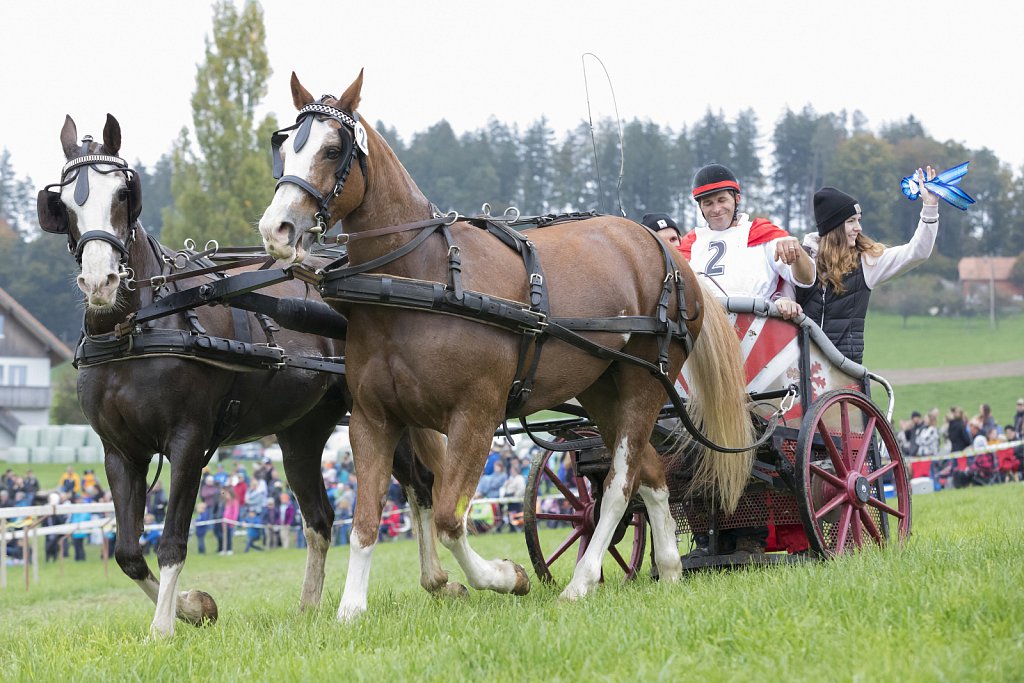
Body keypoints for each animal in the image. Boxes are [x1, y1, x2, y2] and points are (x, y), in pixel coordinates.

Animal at [39, 114, 456, 638]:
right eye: (67, 203)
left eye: (122, 194)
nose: (100, 282)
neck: (135, 327)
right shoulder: (119, 452)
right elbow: (128, 553)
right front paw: (192, 607)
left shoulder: (188, 441)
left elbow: (172, 541)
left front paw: (163, 628)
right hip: (301, 435)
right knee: (320, 518)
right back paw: (309, 607)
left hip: (380, 414)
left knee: (419, 485)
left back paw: (439, 579)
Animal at [256, 73, 753, 618]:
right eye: (286, 147)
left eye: (332, 149)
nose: (276, 229)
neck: (415, 281)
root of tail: (666, 252)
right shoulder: (372, 418)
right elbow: (366, 518)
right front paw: (350, 610)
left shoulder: (475, 414)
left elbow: (450, 518)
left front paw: (507, 577)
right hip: (603, 389)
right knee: (653, 474)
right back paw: (668, 569)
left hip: (643, 382)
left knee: (620, 485)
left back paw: (581, 581)